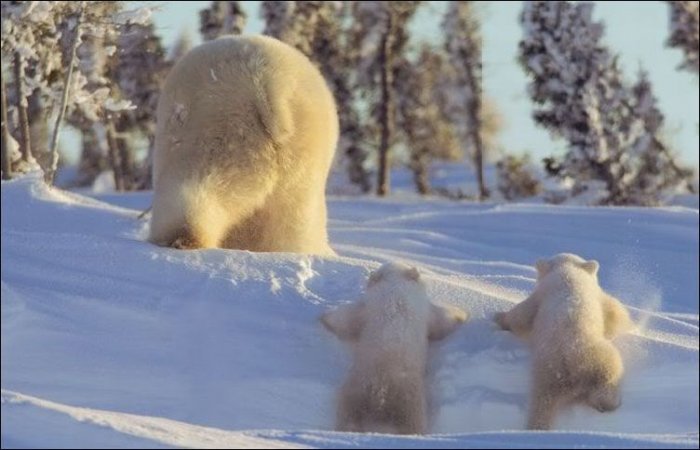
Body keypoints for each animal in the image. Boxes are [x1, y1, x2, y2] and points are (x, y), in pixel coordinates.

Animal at [149, 34, 340, 256]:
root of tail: (267, 85)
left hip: (219, 130)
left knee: (200, 182)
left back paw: (180, 238)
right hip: (301, 155)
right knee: (291, 221)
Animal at [492, 253, 636, 428]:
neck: (568, 273)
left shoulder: (541, 295)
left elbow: (522, 315)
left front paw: (498, 317)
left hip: (555, 368)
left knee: (544, 400)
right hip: (569, 365)